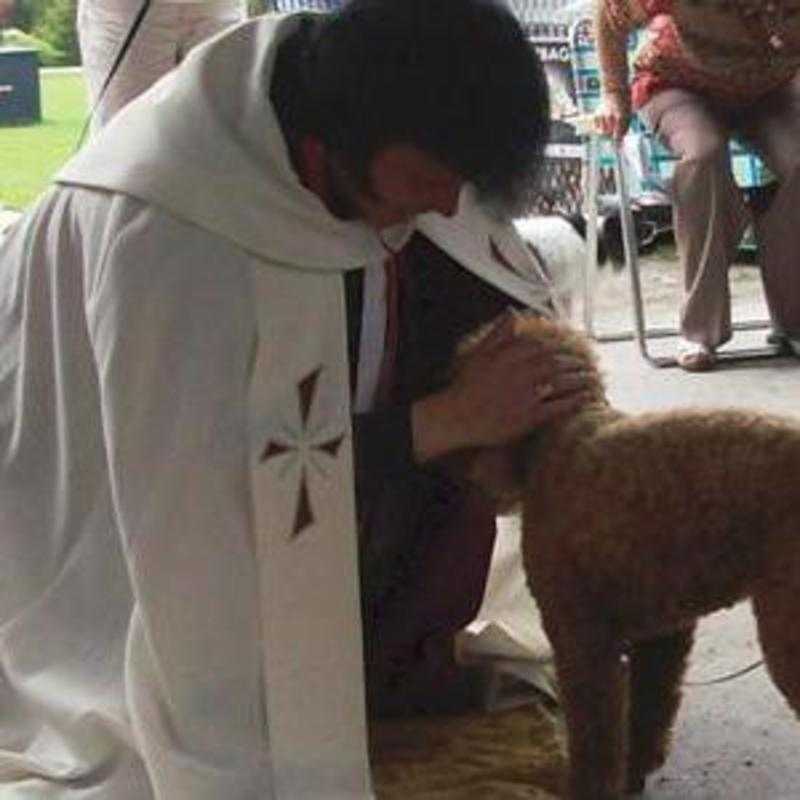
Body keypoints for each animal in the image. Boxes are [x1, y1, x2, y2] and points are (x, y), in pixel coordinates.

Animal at [454, 316, 800, 796]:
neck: (563, 435)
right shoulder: (662, 635)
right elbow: (647, 713)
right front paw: (635, 772)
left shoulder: (581, 638)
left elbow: (595, 737)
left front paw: (588, 788)